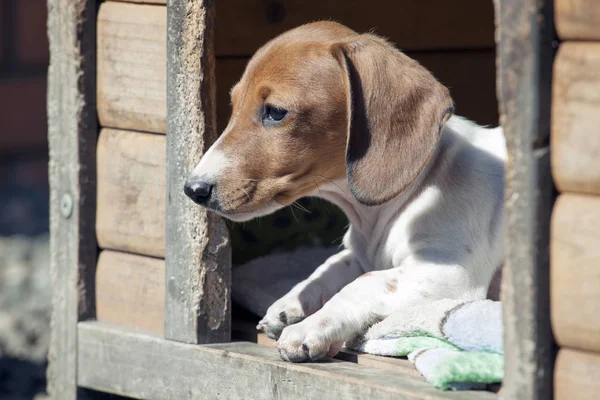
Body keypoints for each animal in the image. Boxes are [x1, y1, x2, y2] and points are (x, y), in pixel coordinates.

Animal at [184, 22, 506, 366]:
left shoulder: (446, 274)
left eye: (275, 112)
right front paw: (289, 305)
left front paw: (311, 328)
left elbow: (362, 285)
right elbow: (330, 267)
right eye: (234, 105)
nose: (193, 189)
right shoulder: (359, 255)